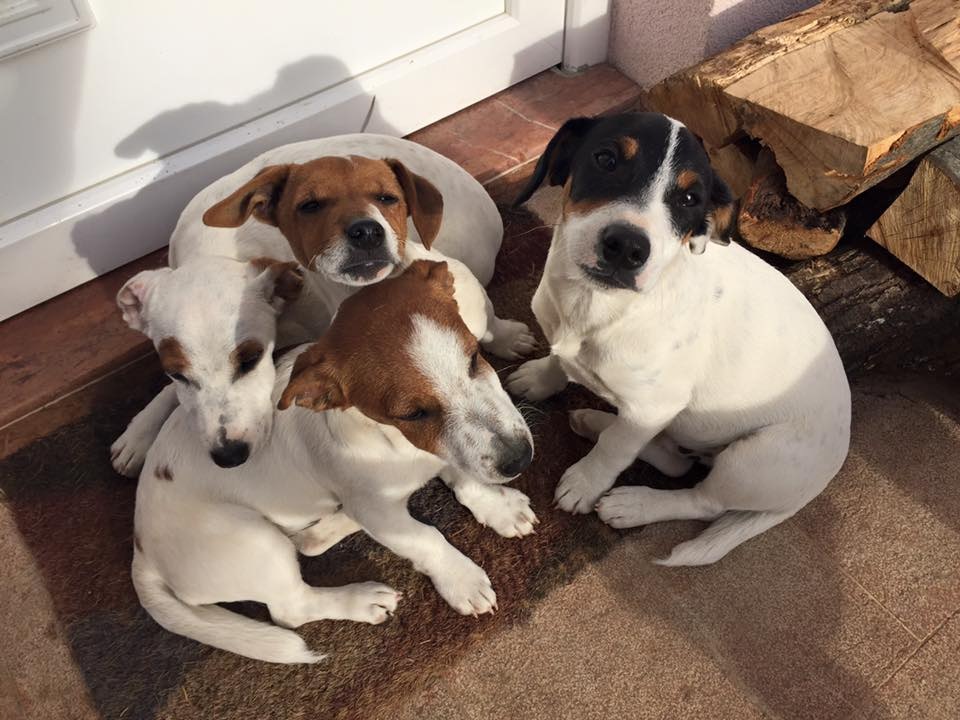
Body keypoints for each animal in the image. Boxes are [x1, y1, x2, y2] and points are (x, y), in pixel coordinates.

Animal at [112, 135, 536, 476]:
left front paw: (508, 337)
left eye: (251, 360)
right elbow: (169, 393)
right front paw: (139, 432)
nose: (230, 455)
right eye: (309, 206)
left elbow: (489, 323)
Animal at [133, 258, 540, 664]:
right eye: (413, 413)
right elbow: (426, 538)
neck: (399, 444)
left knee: (310, 544)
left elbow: (464, 476)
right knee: (291, 608)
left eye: (474, 358)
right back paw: (359, 599)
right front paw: (461, 579)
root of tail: (142, 552)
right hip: (255, 543)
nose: (520, 460)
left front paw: (497, 507)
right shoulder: (385, 505)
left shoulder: (443, 454)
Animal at [506, 112, 852, 564]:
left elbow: (615, 450)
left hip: (751, 459)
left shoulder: (655, 404)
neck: (596, 305)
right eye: (605, 159)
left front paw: (584, 483)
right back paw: (596, 421)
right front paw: (539, 378)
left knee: (701, 498)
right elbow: (557, 363)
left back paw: (635, 502)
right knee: (673, 459)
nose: (627, 247)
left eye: (689, 199)